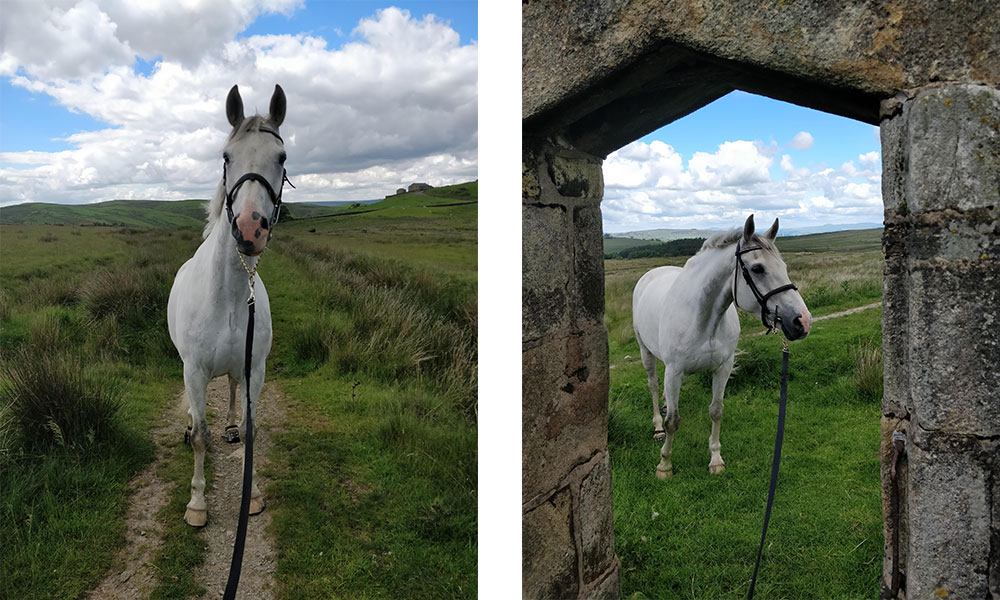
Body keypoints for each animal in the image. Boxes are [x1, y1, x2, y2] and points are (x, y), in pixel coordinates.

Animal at [167, 84, 289, 526]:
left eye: (281, 157)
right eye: (226, 156)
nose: (250, 229)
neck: (230, 295)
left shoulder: (255, 368)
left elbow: (252, 433)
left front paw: (251, 496)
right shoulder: (194, 370)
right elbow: (201, 438)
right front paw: (197, 503)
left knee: (234, 389)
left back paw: (232, 425)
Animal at [631, 214, 812, 480]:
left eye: (784, 267)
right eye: (757, 269)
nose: (803, 322)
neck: (704, 319)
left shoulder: (723, 368)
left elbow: (716, 411)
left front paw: (715, 459)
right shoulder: (674, 373)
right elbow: (672, 421)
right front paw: (665, 465)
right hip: (646, 352)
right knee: (653, 385)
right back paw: (656, 426)